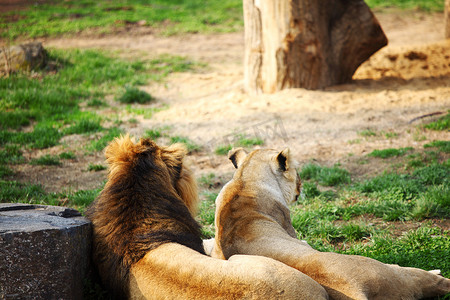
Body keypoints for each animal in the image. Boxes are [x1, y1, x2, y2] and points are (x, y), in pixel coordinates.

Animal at [211, 148, 450, 300]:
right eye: (297, 173)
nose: (302, 184)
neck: (245, 179)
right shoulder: (293, 231)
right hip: (390, 273)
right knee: (426, 279)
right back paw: (436, 273)